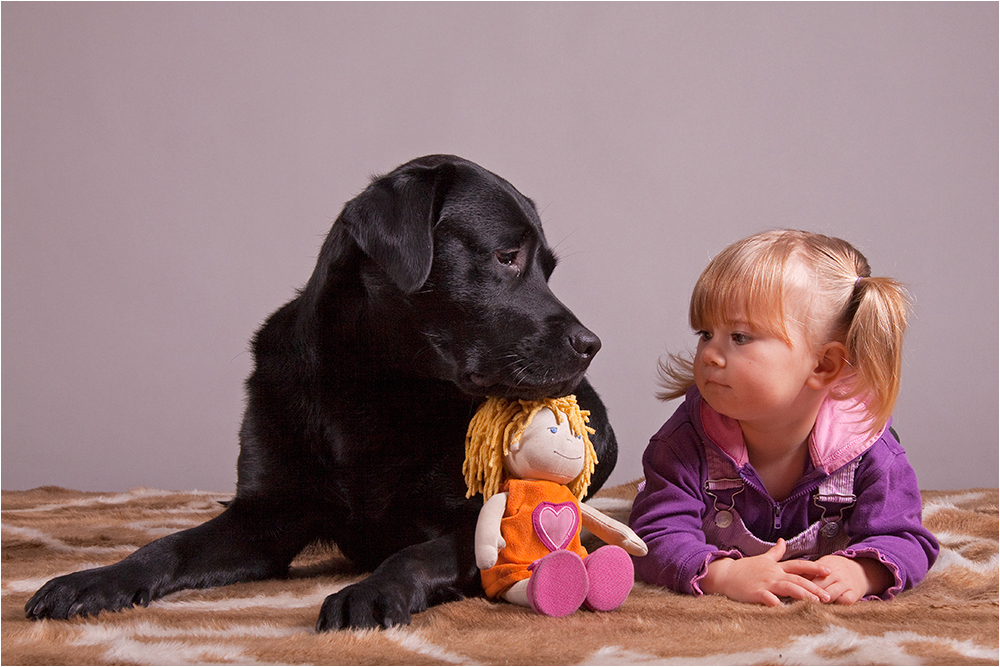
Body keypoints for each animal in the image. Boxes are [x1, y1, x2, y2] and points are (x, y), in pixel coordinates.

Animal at [25, 155, 616, 632]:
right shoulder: (264, 518)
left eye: (547, 269)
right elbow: (166, 546)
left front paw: (371, 592)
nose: (592, 344)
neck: (377, 391)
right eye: (506, 256)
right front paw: (96, 580)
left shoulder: (473, 519)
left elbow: (417, 555)